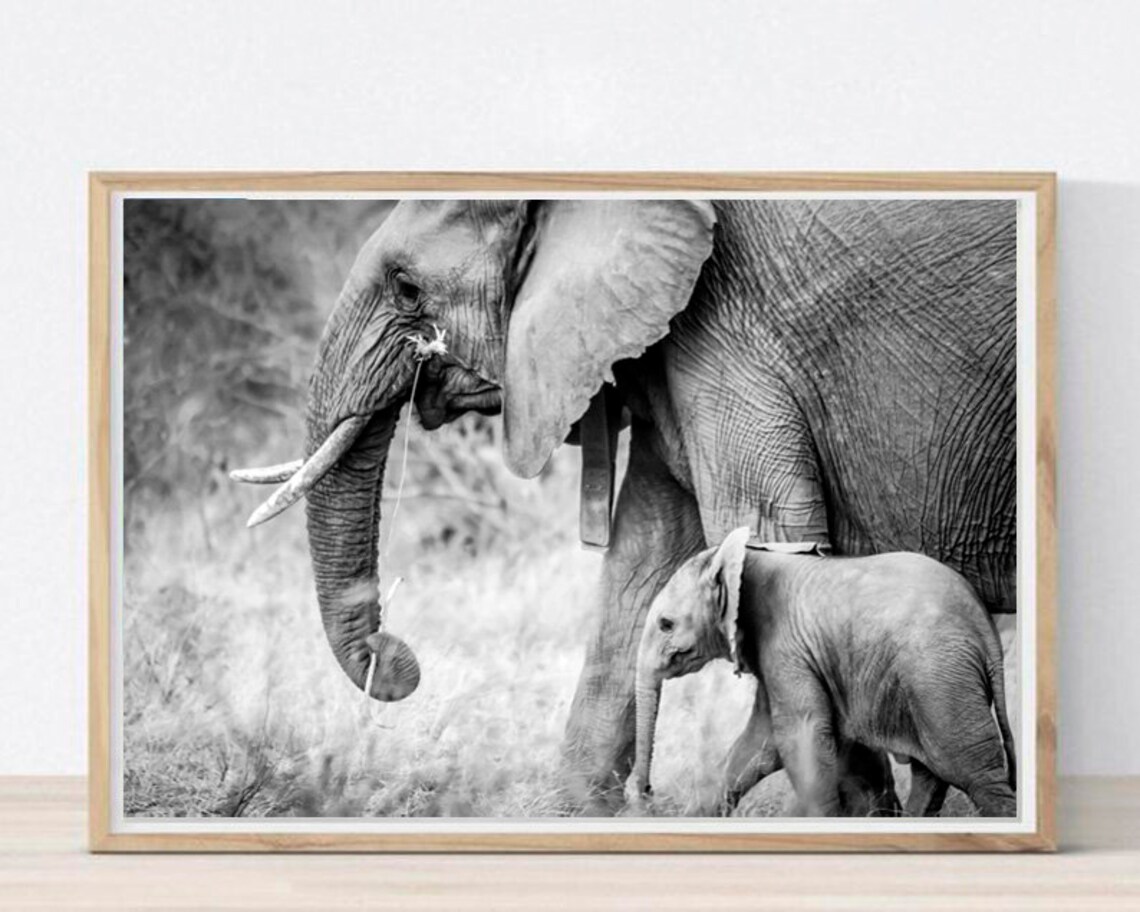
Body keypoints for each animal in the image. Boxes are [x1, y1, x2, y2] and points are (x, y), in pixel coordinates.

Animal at [627, 529, 1017, 818]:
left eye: (665, 624)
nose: (645, 791)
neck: (744, 557)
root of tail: (984, 627)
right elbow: (760, 743)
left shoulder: (786, 645)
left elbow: (801, 735)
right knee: (932, 772)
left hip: (938, 677)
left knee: (973, 771)